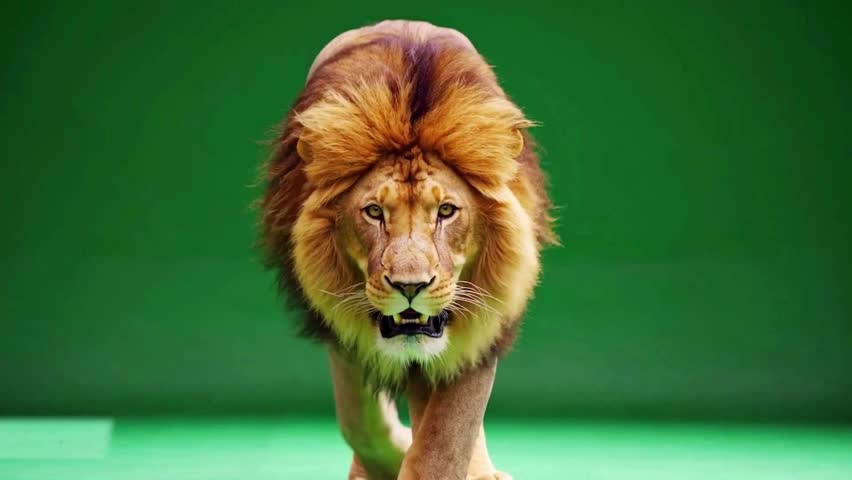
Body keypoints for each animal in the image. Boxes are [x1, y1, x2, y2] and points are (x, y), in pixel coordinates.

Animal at [259, 20, 555, 480]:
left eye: (447, 211)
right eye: (374, 212)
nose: (410, 286)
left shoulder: (480, 322)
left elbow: (445, 439)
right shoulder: (340, 329)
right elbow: (359, 421)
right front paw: (388, 457)